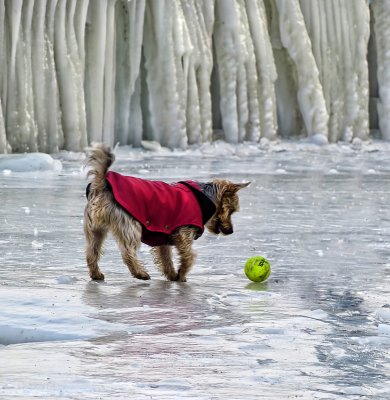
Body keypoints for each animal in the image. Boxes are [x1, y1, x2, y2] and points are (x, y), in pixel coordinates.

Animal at [84, 143, 251, 282]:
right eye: (231, 211)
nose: (231, 231)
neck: (205, 196)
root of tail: (101, 185)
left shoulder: (164, 235)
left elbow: (166, 258)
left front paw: (172, 275)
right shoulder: (183, 232)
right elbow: (189, 256)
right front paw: (182, 275)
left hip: (95, 228)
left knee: (92, 251)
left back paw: (96, 274)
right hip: (129, 225)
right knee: (127, 252)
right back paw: (140, 273)